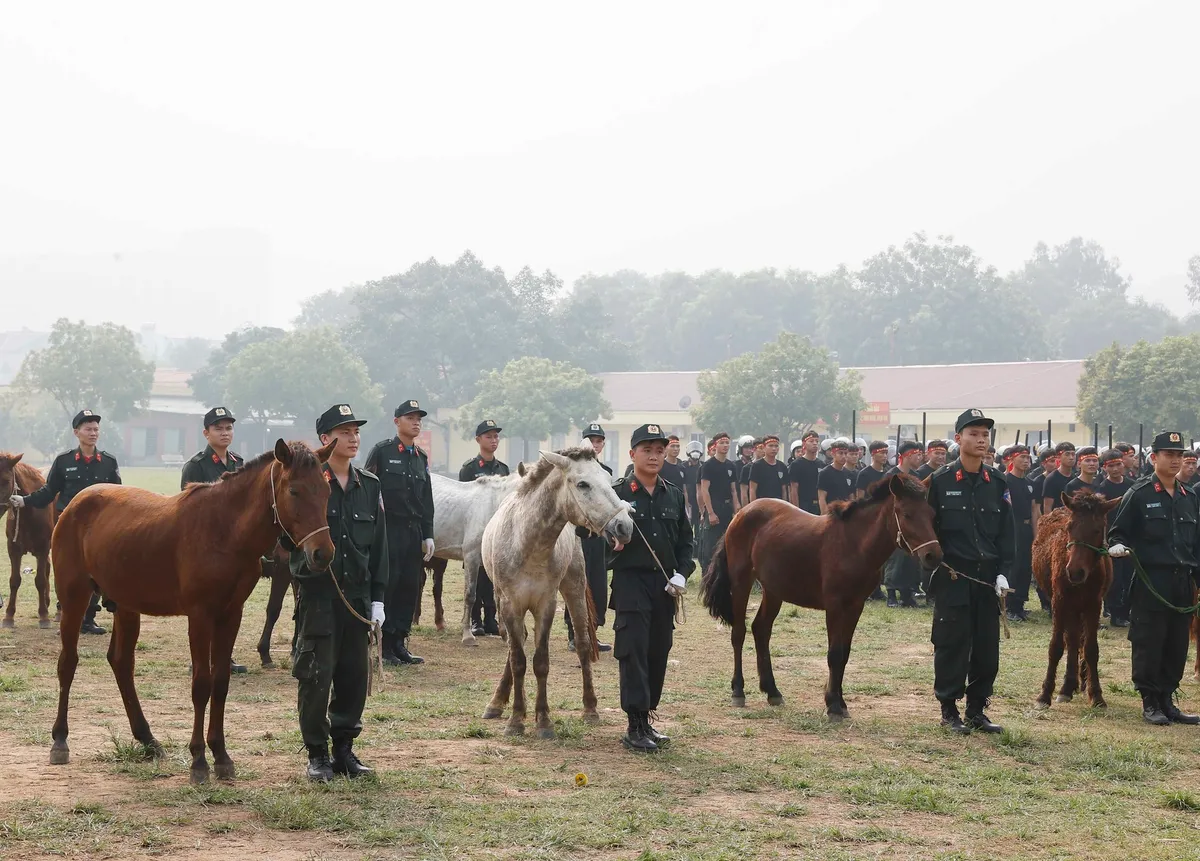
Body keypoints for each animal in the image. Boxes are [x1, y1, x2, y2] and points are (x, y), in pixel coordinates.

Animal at [1, 455, 56, 628]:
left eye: (6, 481)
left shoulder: (43, 548)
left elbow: (40, 580)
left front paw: (43, 616)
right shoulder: (13, 549)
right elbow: (14, 580)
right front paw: (8, 616)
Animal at [48, 441, 336, 786]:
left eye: (326, 490)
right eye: (294, 490)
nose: (322, 553)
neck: (224, 531)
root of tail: (75, 503)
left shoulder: (230, 615)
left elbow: (221, 682)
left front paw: (221, 756)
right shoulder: (200, 616)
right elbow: (201, 684)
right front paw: (199, 760)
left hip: (127, 605)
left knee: (121, 663)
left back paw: (147, 738)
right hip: (74, 598)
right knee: (68, 663)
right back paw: (60, 740)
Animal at [480, 448, 638, 738]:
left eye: (608, 479)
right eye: (583, 484)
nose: (624, 526)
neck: (528, 544)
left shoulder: (546, 605)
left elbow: (541, 661)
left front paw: (543, 720)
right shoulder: (509, 604)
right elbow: (518, 659)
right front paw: (516, 719)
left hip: (573, 586)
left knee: (583, 644)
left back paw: (590, 709)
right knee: (514, 645)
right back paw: (497, 702)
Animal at [700, 474, 940, 719]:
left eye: (931, 514)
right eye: (907, 514)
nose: (933, 556)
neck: (854, 544)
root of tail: (741, 513)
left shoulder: (856, 606)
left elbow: (844, 654)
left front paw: (841, 703)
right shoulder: (834, 605)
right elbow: (834, 654)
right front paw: (832, 705)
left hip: (773, 590)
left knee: (761, 630)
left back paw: (772, 690)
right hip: (741, 582)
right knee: (739, 633)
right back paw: (738, 690)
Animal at [1032, 489, 1123, 709]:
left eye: (1098, 530)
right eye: (1069, 527)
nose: (1075, 572)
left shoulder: (1093, 604)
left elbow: (1090, 648)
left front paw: (1096, 694)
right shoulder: (1059, 601)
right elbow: (1056, 645)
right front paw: (1045, 694)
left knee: (1077, 639)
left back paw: (1077, 681)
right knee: (1071, 639)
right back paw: (1067, 686)